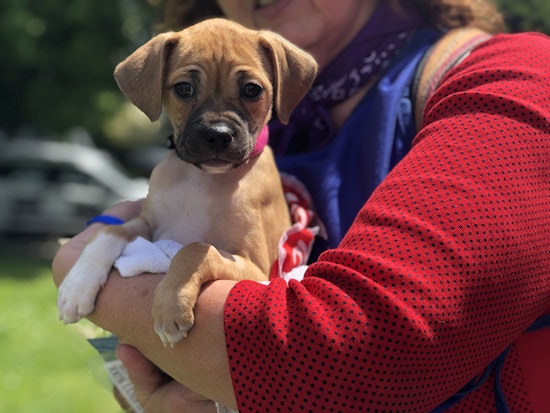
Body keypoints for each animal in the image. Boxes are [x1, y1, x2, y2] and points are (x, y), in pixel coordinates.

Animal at [56, 17, 320, 346]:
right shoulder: (150, 224)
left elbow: (195, 248)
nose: (218, 135)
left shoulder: (257, 269)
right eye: (184, 89)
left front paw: (171, 304)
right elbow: (109, 231)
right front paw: (76, 285)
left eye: (251, 90)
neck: (202, 179)